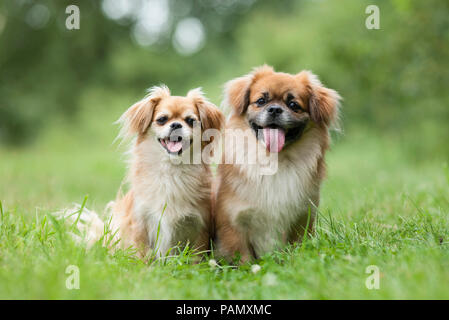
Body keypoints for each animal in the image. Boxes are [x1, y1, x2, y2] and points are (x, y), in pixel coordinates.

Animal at [66, 85, 224, 260]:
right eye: (162, 119)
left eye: (190, 121)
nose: (176, 125)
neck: (171, 170)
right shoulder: (141, 223)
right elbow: (143, 254)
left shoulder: (199, 226)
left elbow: (196, 257)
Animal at [213, 65, 340, 262]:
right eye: (260, 101)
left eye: (294, 105)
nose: (274, 109)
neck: (274, 161)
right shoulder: (233, 225)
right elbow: (243, 259)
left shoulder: (302, 221)